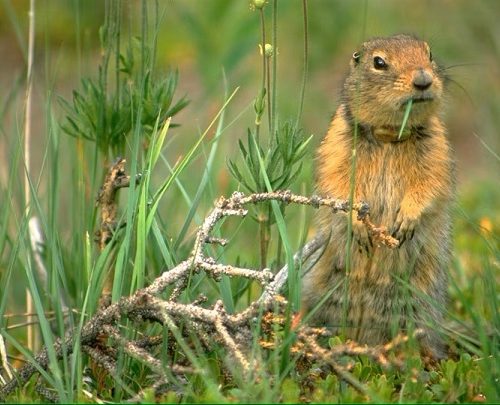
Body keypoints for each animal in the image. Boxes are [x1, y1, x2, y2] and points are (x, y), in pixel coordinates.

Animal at [302, 34, 456, 356]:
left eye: (429, 54)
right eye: (379, 62)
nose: (423, 80)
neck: (389, 136)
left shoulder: (437, 146)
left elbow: (431, 182)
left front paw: (406, 220)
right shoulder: (338, 140)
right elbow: (336, 179)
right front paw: (358, 224)